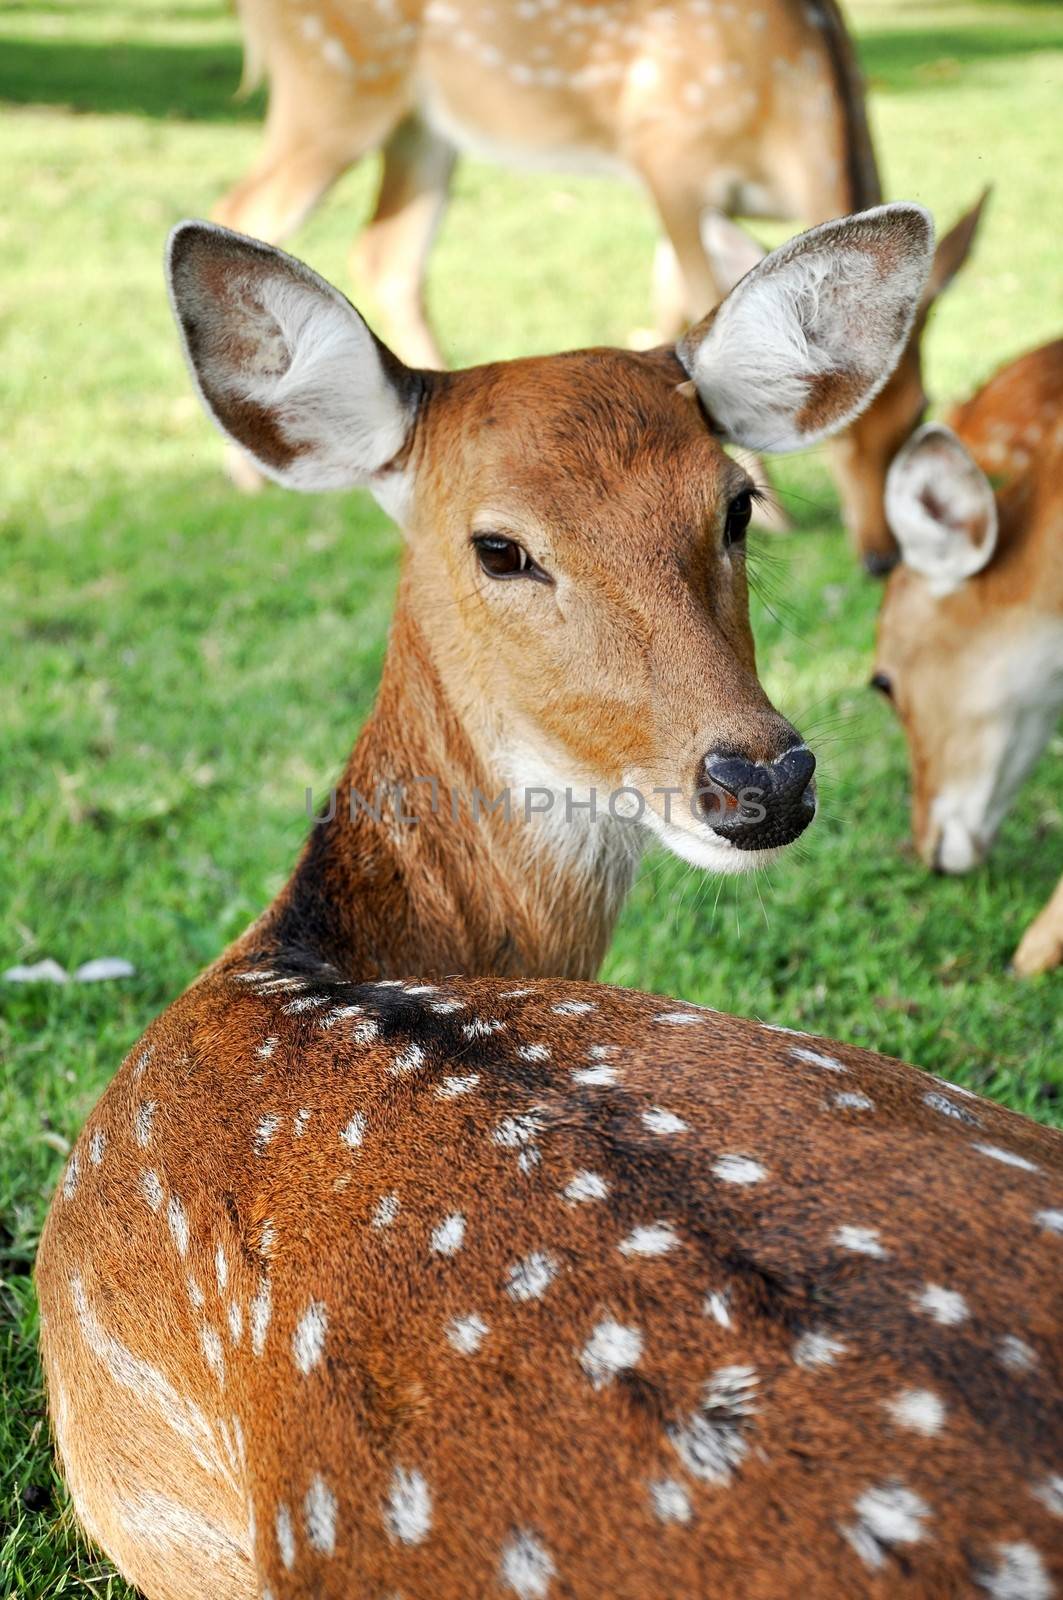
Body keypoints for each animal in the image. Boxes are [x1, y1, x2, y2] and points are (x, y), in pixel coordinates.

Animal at [214, 0, 979, 572]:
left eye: (920, 407)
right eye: (834, 439)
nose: (881, 557)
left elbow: (675, 294)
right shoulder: (667, 156)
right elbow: (693, 286)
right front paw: (776, 508)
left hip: (422, 125)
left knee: (384, 253)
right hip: (335, 87)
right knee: (243, 210)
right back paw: (248, 473)